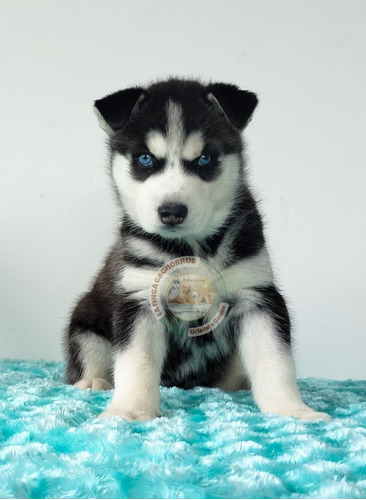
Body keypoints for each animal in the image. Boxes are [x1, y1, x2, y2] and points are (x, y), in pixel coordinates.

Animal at [64, 79, 330, 422]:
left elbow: (274, 360)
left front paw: (291, 410)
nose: (172, 212)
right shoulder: (140, 299)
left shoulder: (257, 296)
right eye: (145, 159)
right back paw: (93, 381)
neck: (193, 246)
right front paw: (131, 410)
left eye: (205, 159)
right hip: (86, 322)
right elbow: (137, 362)